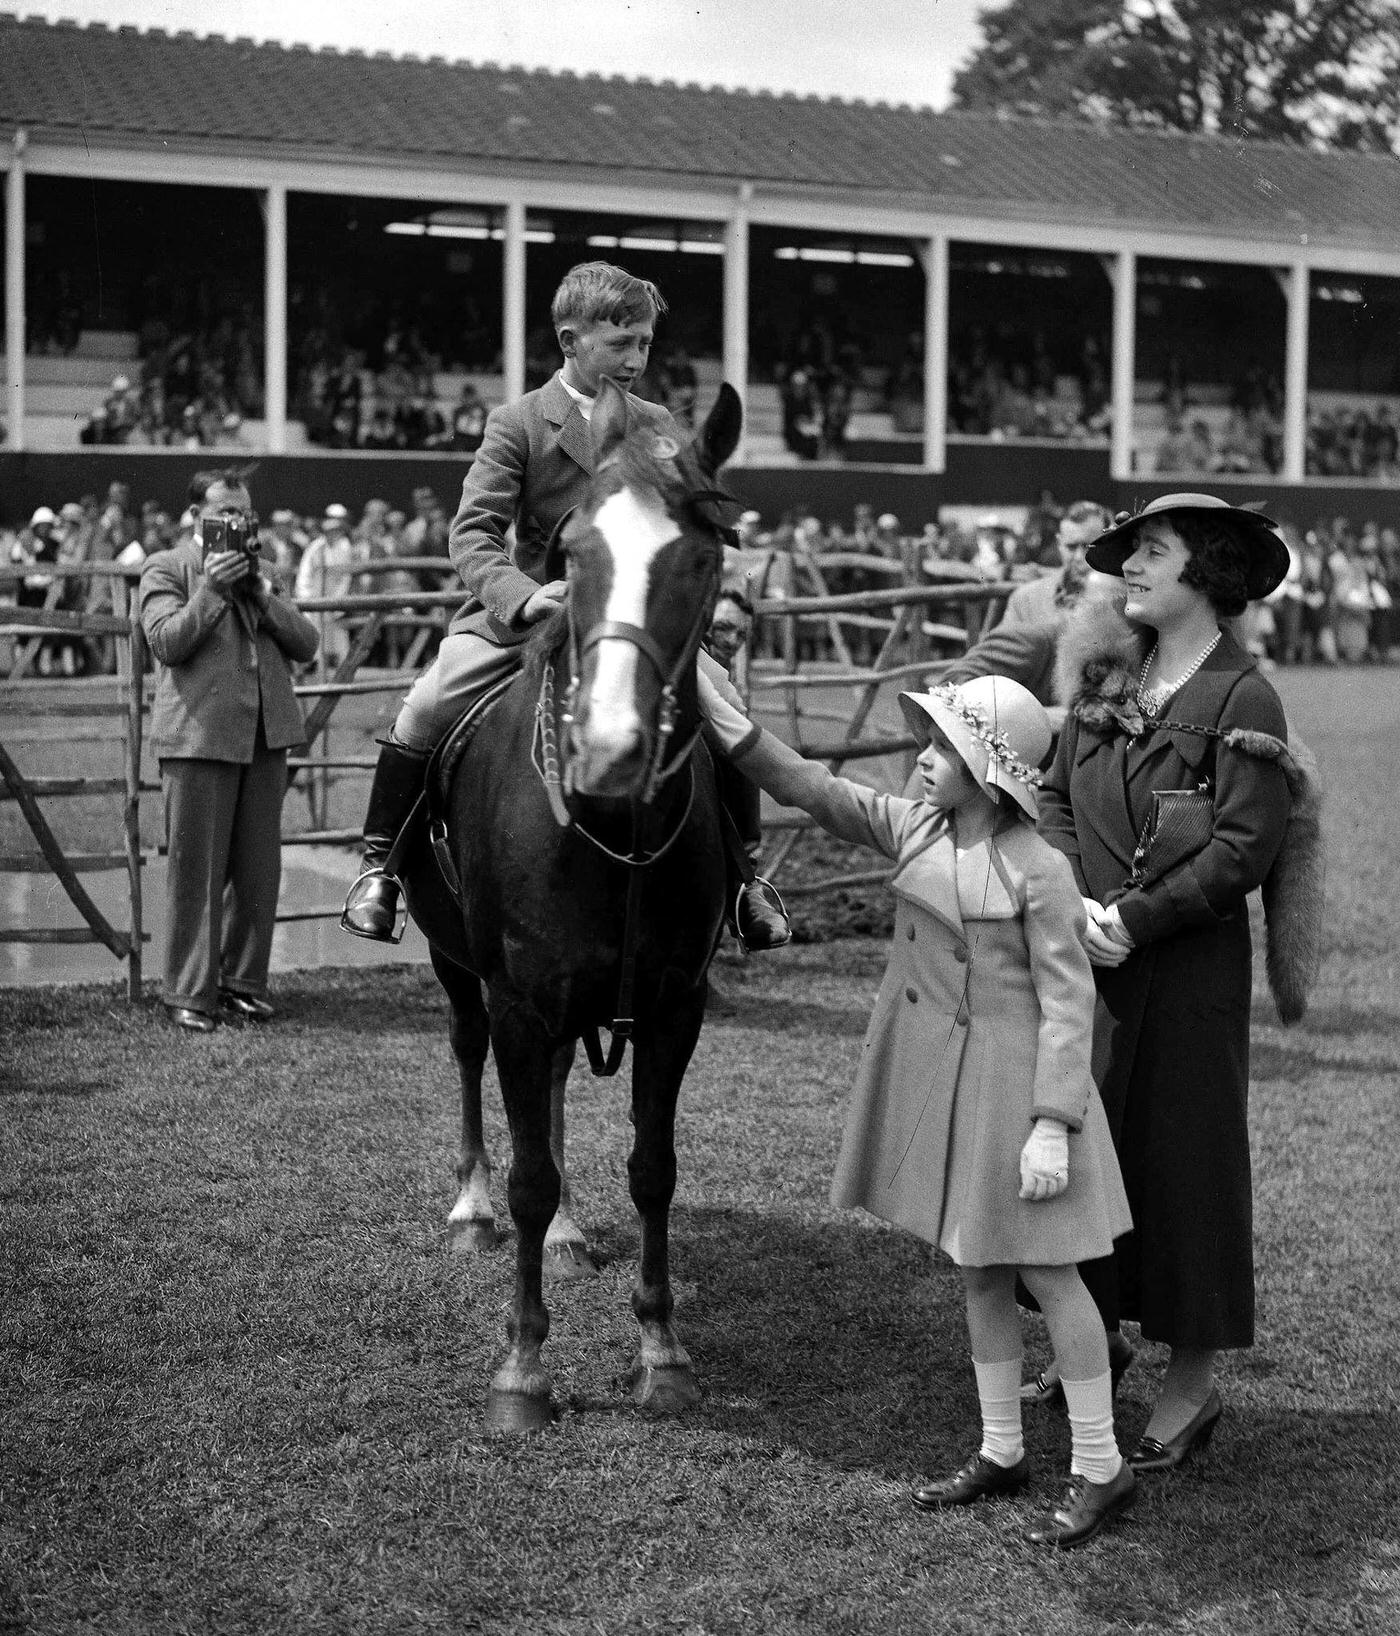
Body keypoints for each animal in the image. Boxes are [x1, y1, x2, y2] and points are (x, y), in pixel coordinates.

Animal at [399, 379, 739, 1433]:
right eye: (572, 554)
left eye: (701, 555)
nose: (610, 749)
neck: (608, 825)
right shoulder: (516, 998)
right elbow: (529, 1177)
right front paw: (522, 1368)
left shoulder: (675, 1007)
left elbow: (652, 1169)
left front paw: (661, 1348)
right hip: (458, 966)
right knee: (470, 1061)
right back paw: (472, 1210)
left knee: (547, 1096)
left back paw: (565, 1236)